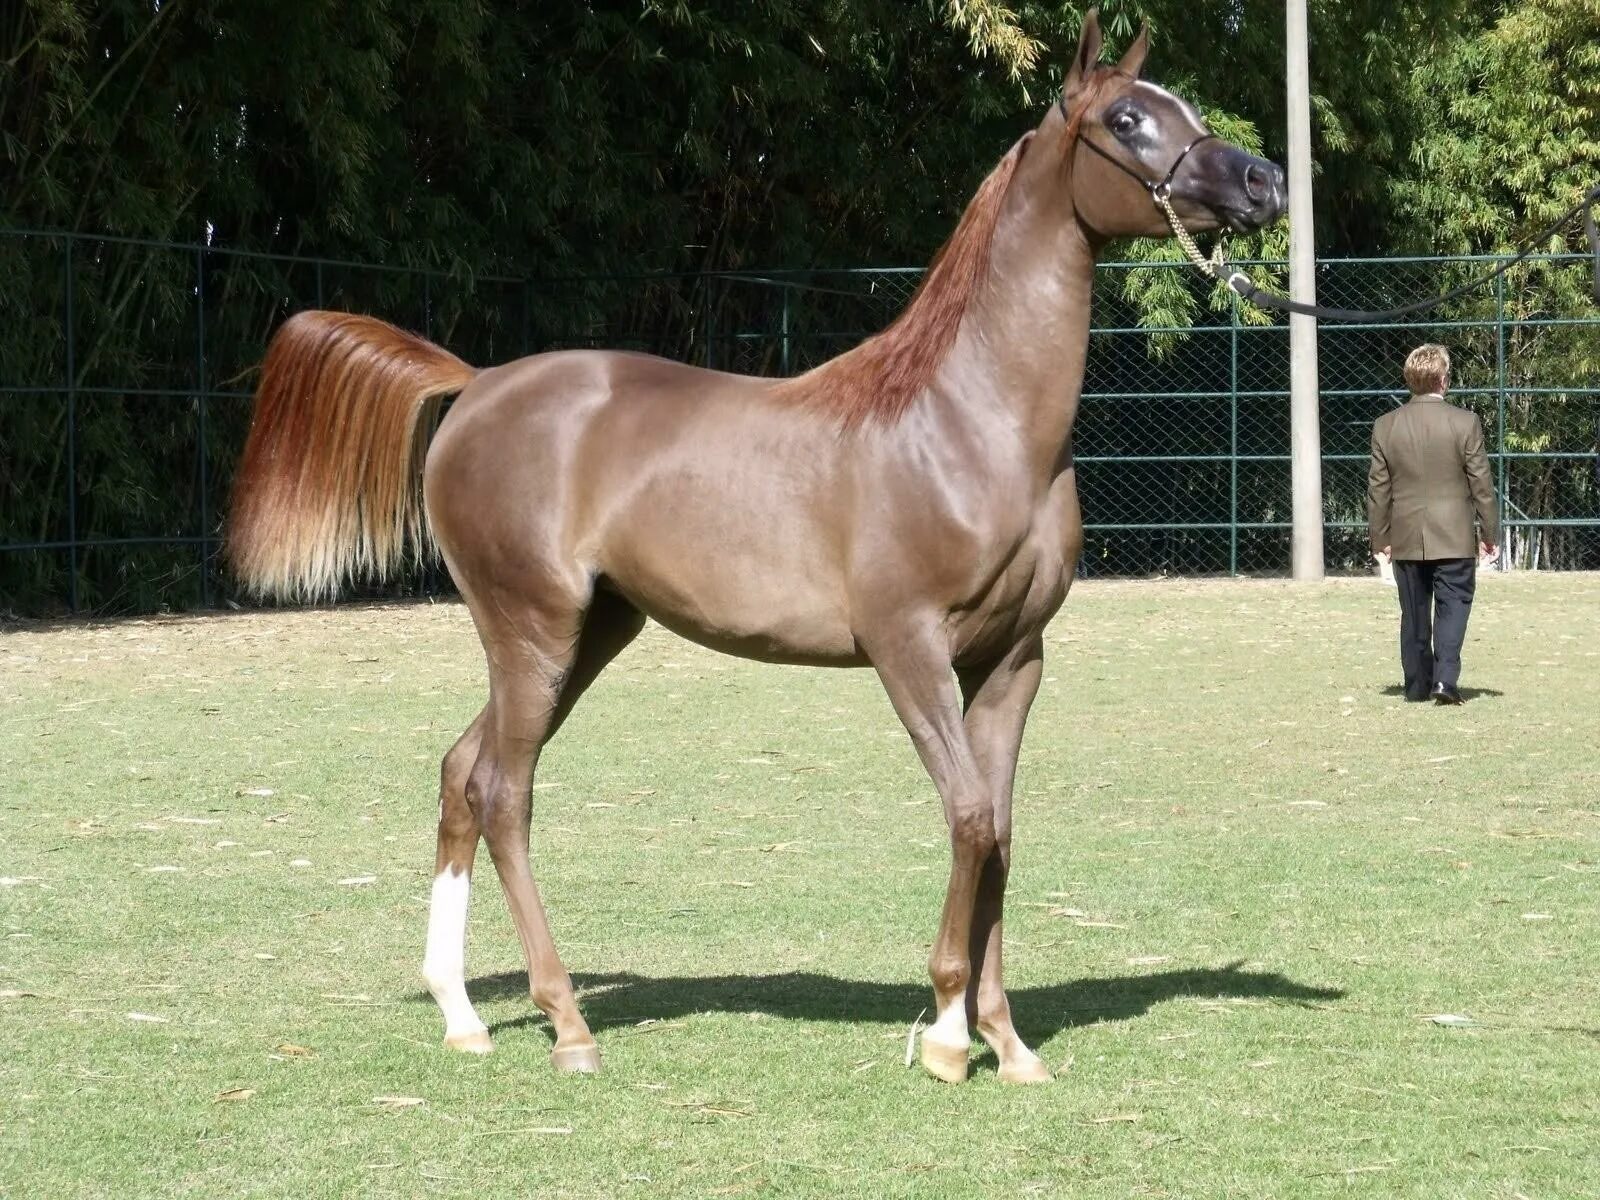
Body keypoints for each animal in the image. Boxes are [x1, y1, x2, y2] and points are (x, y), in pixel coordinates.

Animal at [228, 9, 1286, 1088]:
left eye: (1183, 109)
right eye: (1128, 120)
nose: (1265, 183)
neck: (965, 419)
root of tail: (478, 382)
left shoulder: (1011, 660)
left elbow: (997, 832)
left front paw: (1002, 1037)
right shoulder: (909, 650)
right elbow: (966, 818)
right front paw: (949, 1035)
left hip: (590, 633)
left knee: (458, 772)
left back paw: (461, 1012)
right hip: (531, 629)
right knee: (502, 793)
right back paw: (566, 1024)